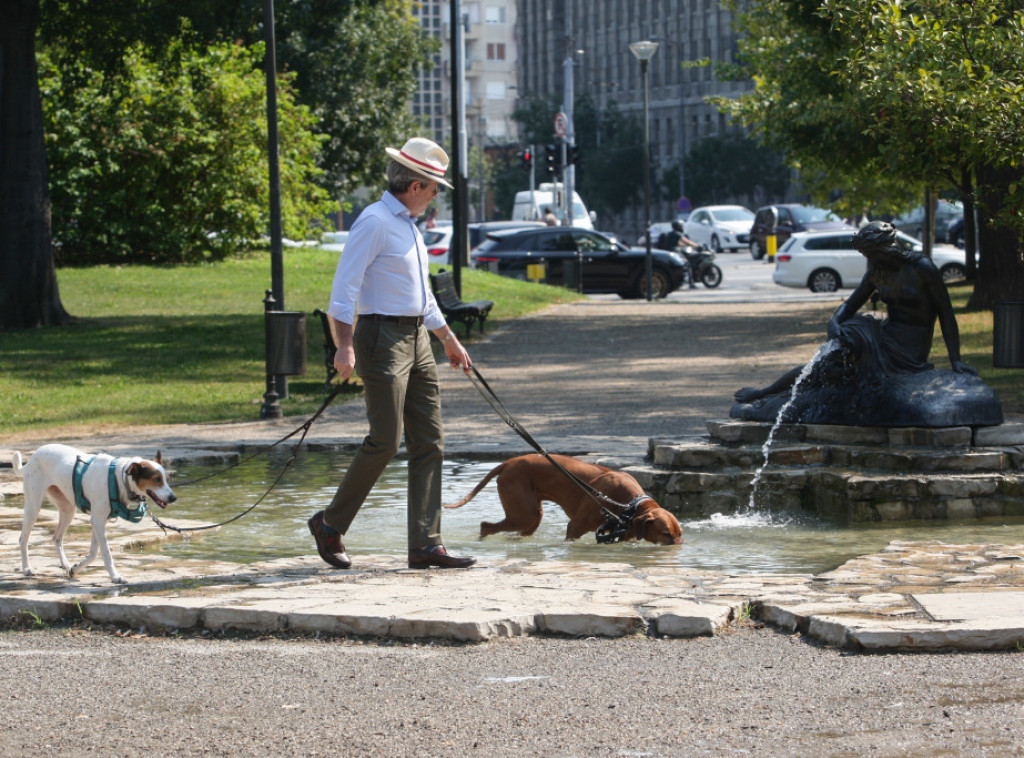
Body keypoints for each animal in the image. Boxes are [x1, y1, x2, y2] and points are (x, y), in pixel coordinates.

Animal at [14, 444, 176, 585]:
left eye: (167, 479)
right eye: (156, 479)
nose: (173, 498)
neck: (119, 478)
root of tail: (32, 458)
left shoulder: (98, 521)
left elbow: (93, 553)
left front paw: (75, 569)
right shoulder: (98, 521)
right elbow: (106, 553)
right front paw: (115, 577)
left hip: (68, 509)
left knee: (56, 538)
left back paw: (65, 564)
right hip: (33, 506)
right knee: (23, 539)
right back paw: (27, 568)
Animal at [446, 450, 679, 544]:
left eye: (680, 534)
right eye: (665, 533)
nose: (678, 547)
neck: (629, 504)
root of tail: (508, 463)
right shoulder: (575, 527)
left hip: (531, 517)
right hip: (524, 515)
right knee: (485, 526)